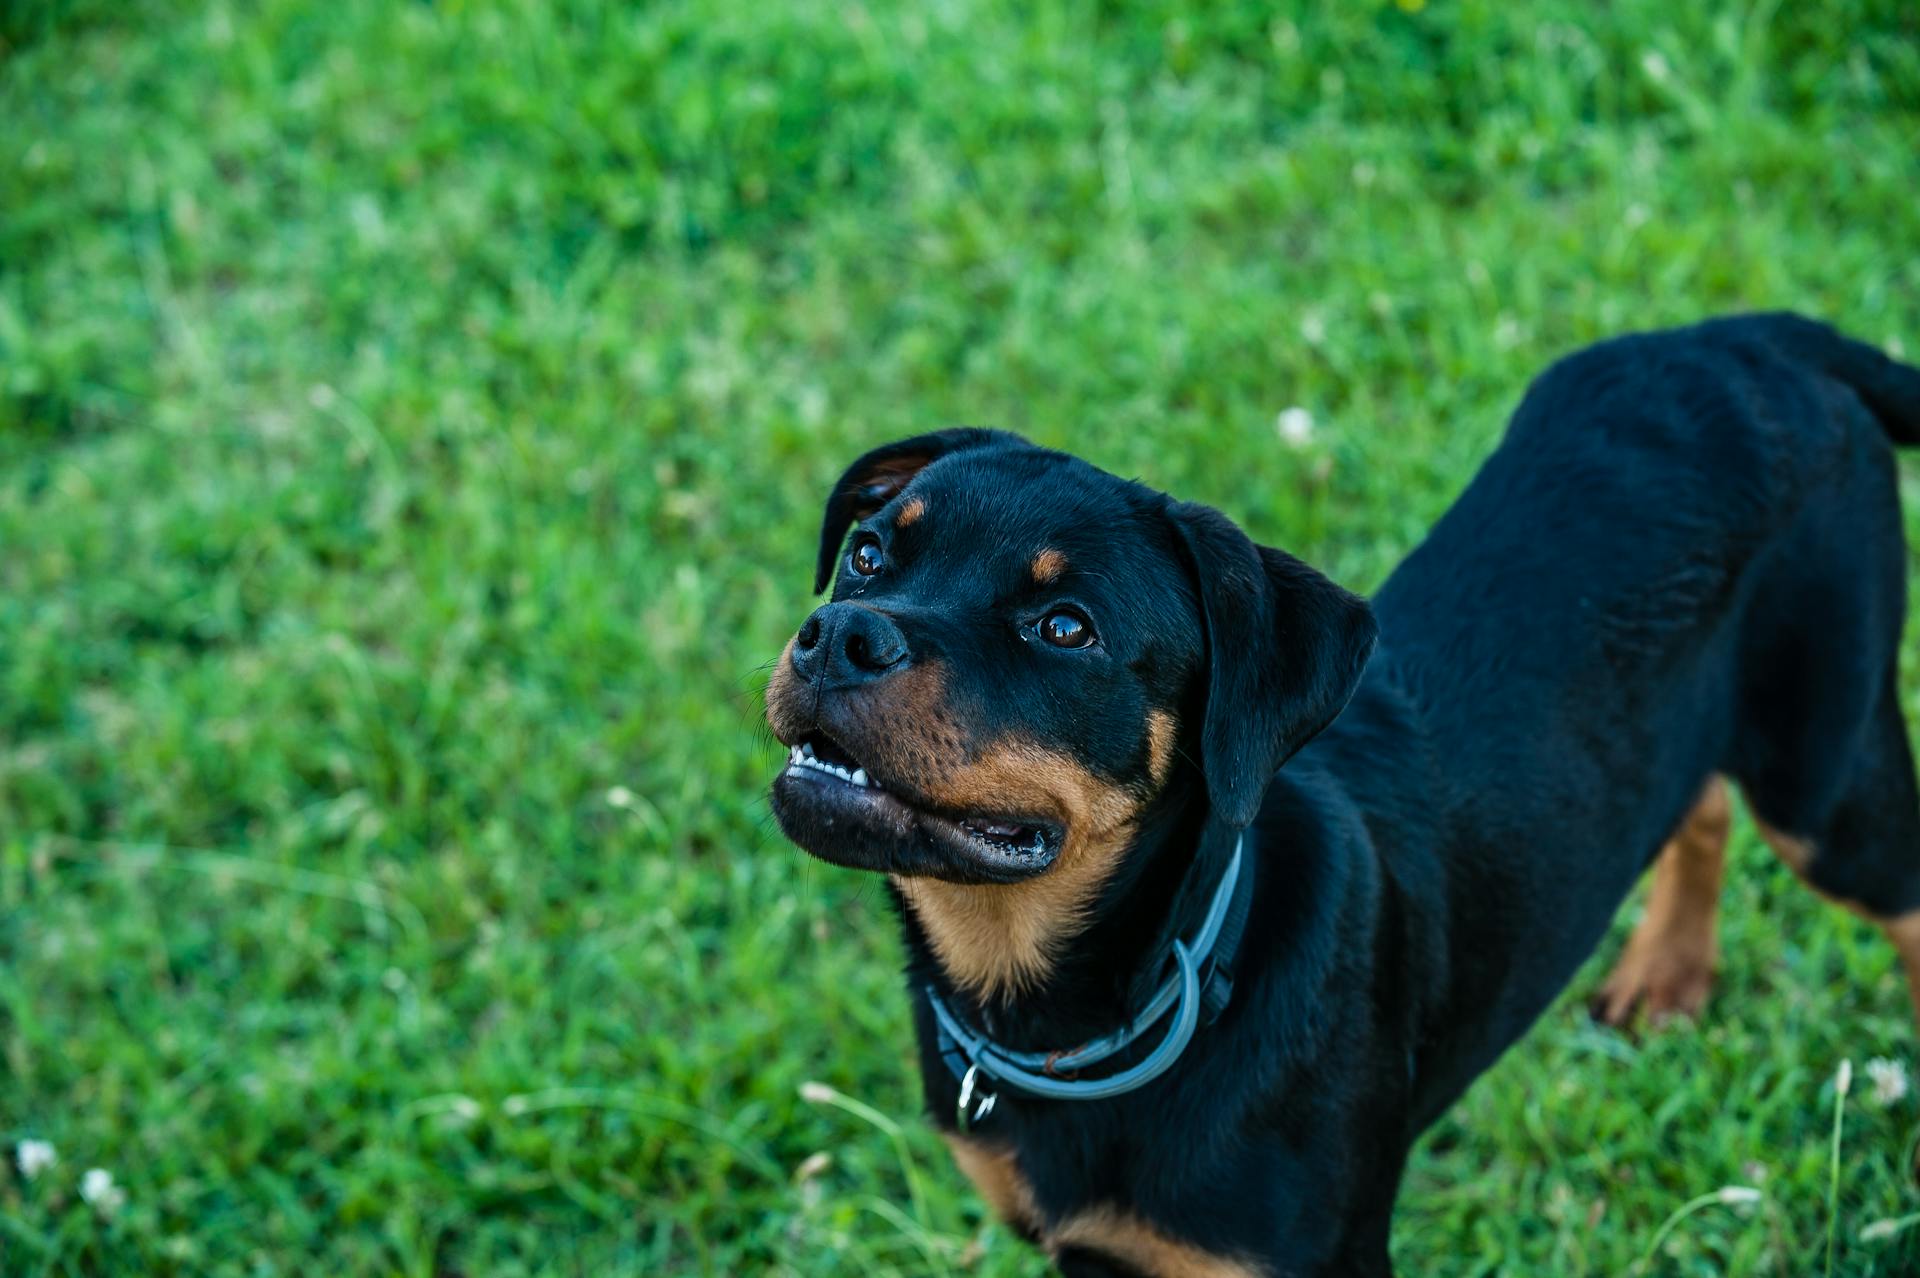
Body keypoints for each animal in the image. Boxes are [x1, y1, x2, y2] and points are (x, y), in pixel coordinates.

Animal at [764, 310, 1920, 1274]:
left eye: (1066, 628)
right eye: (869, 553)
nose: (837, 635)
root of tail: (1751, 334)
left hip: (1826, 773)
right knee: (1695, 800)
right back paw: (1667, 973)